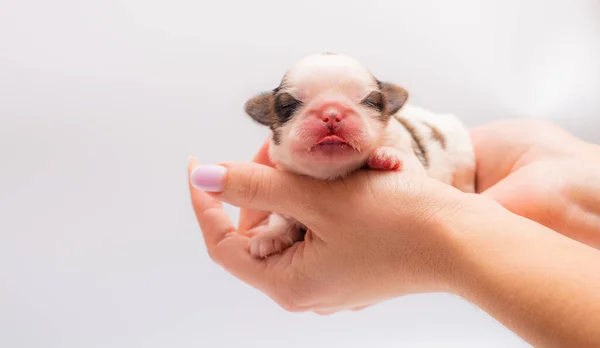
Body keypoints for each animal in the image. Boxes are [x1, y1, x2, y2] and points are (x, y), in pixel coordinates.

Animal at [243, 52, 474, 258]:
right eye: (288, 106)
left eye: (369, 101)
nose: (331, 113)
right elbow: (281, 217)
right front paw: (269, 235)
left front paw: (388, 156)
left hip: (464, 158)